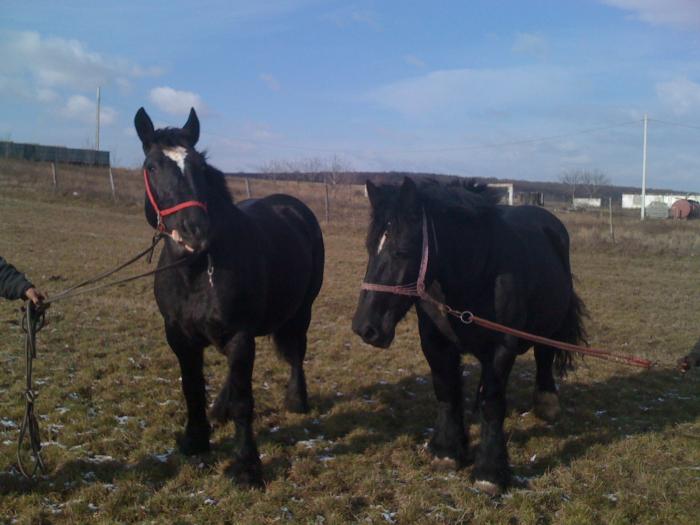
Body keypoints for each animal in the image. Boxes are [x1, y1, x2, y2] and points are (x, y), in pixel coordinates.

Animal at [134, 107, 326, 488]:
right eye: (152, 166)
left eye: (198, 166)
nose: (196, 230)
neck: (196, 272)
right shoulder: (179, 336)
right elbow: (192, 388)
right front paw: (195, 440)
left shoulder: (238, 334)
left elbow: (243, 402)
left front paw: (247, 467)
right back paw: (218, 409)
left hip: (301, 311)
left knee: (296, 352)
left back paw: (296, 399)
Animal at [352, 178, 588, 494]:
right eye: (369, 247)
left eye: (402, 251)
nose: (365, 327)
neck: (477, 272)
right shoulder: (435, 344)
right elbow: (447, 392)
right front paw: (446, 451)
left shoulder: (503, 347)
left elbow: (493, 403)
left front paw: (489, 472)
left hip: (549, 324)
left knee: (544, 355)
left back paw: (547, 403)